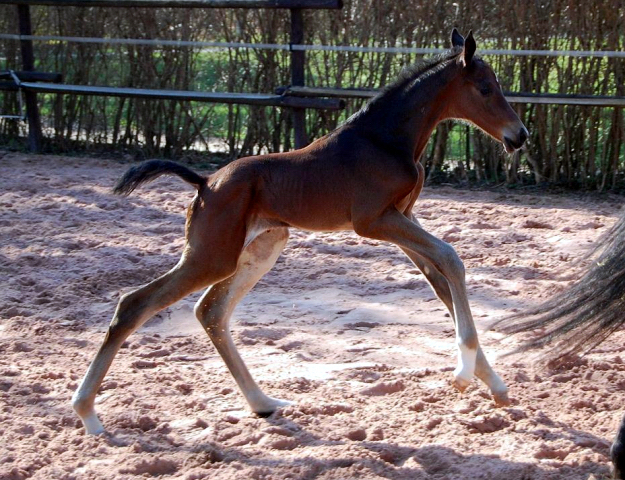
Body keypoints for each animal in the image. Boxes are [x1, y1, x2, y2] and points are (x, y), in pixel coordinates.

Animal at [72, 30, 528, 436]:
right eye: (485, 88)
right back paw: (88, 414)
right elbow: (451, 259)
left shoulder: (404, 217)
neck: (386, 139)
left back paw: (262, 402)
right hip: (211, 255)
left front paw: (496, 385)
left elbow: (441, 282)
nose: (519, 136)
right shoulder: (375, 221)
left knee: (211, 311)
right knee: (135, 303)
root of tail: (205, 183)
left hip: (261, 247)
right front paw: (464, 373)